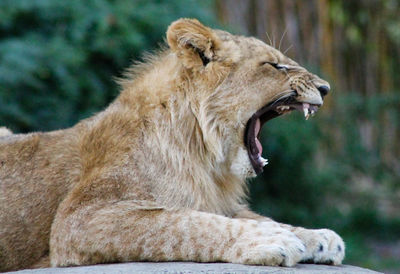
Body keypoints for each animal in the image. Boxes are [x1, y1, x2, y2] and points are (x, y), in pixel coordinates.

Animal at [0, 19, 344, 272]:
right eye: (275, 66)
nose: (326, 88)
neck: (202, 152)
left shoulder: (219, 202)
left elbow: (254, 216)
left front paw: (318, 237)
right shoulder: (79, 219)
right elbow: (182, 223)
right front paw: (270, 240)